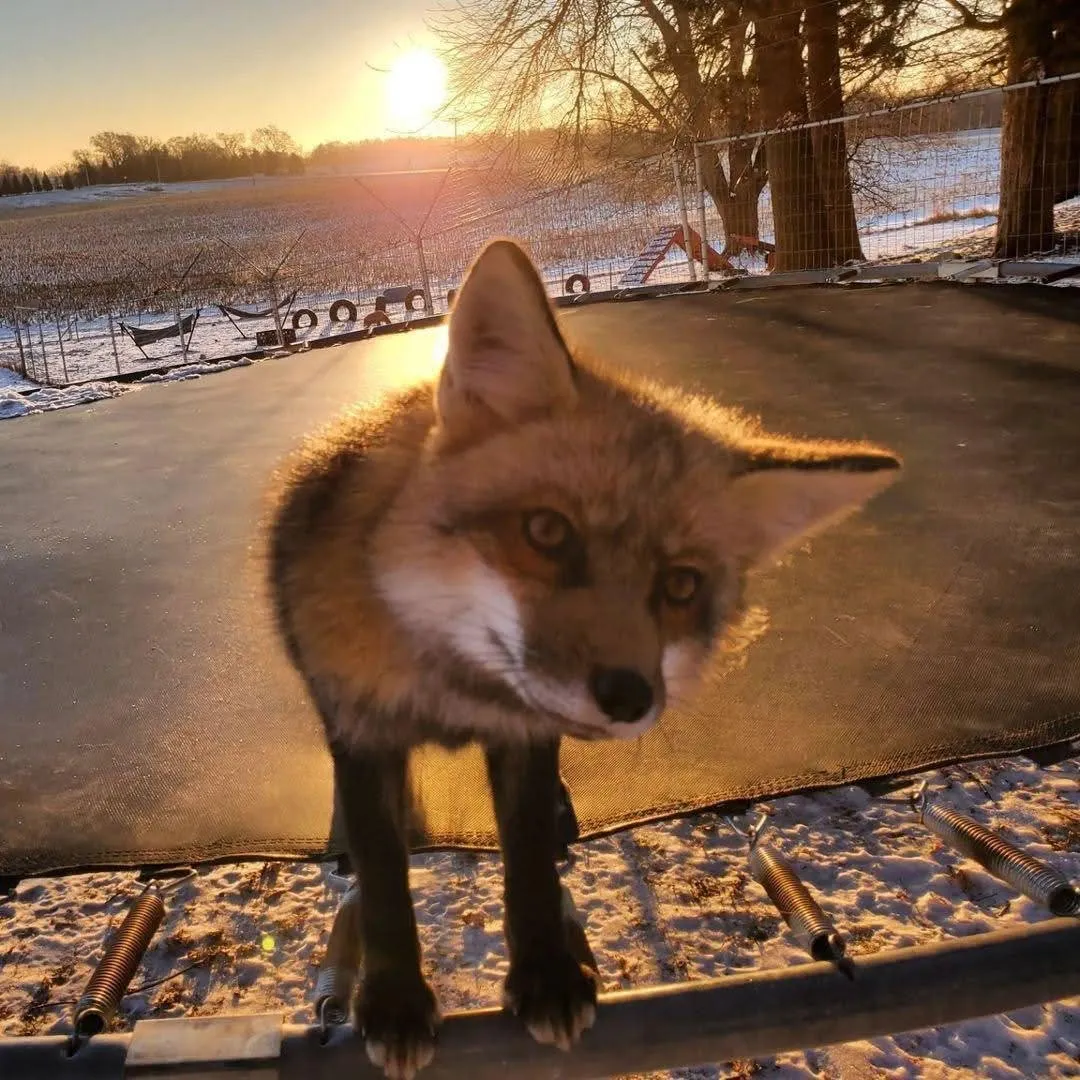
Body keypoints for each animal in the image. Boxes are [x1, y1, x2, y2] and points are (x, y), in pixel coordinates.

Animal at [266, 238, 900, 1078]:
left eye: (679, 585)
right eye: (546, 532)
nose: (630, 697)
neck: (456, 692)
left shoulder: (527, 737)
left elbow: (530, 860)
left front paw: (546, 974)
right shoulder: (364, 732)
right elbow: (384, 881)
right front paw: (396, 997)